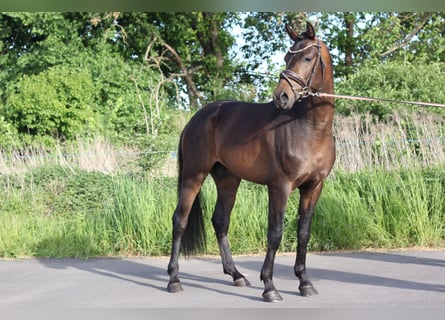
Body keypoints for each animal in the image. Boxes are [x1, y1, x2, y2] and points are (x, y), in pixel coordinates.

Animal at [166, 21, 332, 302]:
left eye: (308, 58)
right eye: (286, 57)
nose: (282, 97)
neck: (308, 127)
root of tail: (196, 119)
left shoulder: (313, 187)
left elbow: (304, 233)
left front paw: (305, 283)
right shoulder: (279, 187)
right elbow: (275, 233)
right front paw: (270, 286)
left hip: (228, 179)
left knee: (220, 221)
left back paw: (236, 275)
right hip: (193, 176)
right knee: (180, 220)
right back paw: (174, 279)